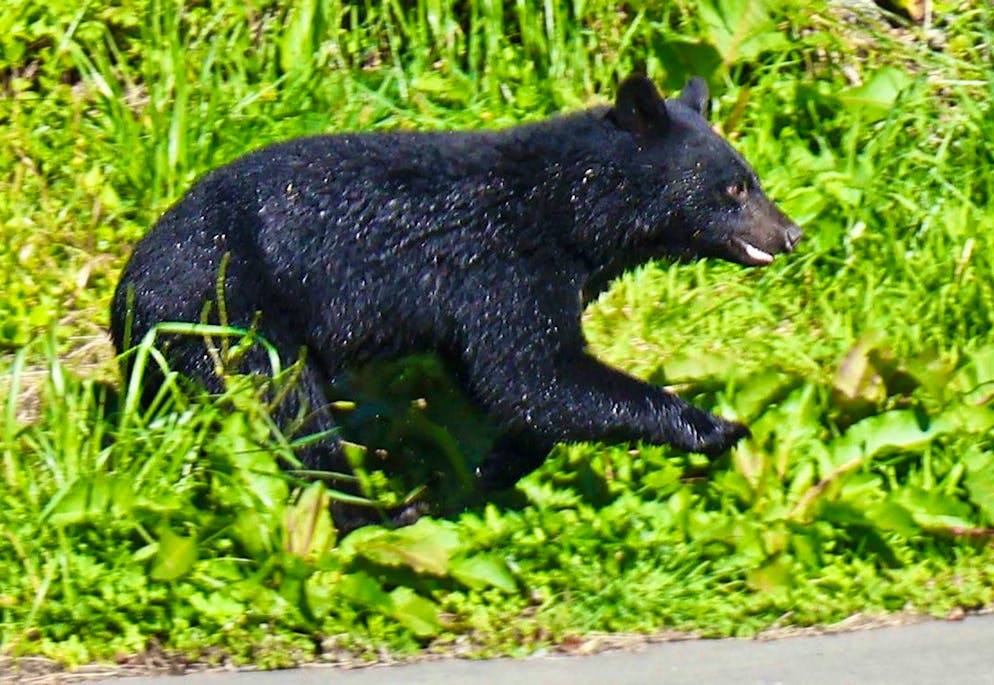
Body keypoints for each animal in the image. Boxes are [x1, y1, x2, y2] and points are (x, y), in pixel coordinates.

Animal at [111, 75, 801, 522]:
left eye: (752, 178)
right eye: (735, 188)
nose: (791, 233)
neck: (569, 207)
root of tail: (125, 297)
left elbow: (502, 389)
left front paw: (481, 474)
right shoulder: (503, 264)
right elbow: (532, 375)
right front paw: (715, 426)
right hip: (225, 313)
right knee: (291, 408)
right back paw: (374, 512)